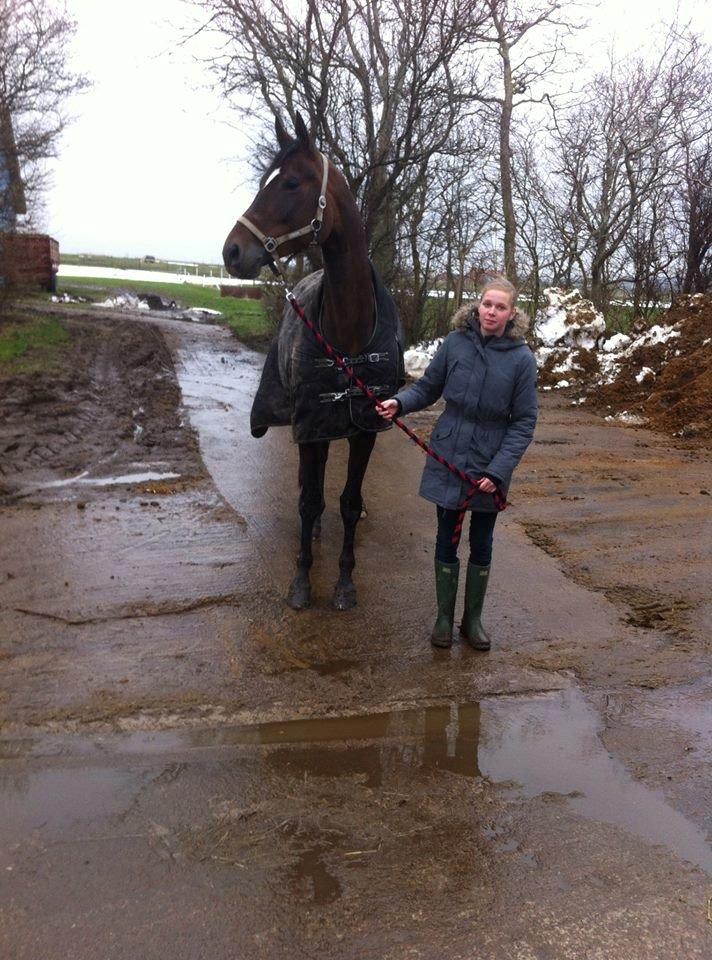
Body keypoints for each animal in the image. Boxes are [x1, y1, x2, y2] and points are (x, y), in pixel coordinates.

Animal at [222, 112, 404, 608]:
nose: (232, 251)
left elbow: (349, 502)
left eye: (290, 182)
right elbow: (309, 499)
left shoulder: (366, 428)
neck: (349, 333)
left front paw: (344, 582)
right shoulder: (309, 425)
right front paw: (302, 580)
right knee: (311, 487)